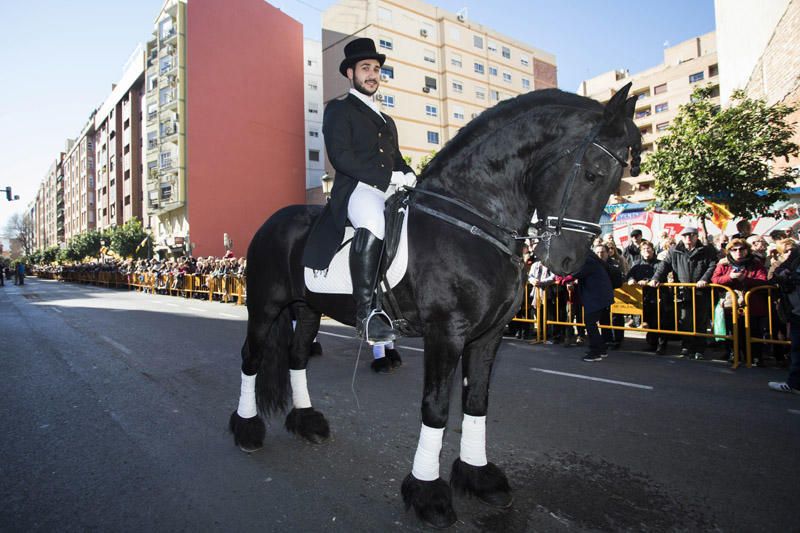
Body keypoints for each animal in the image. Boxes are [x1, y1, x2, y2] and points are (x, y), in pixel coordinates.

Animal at [228, 85, 640, 524]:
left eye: (615, 180)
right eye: (592, 173)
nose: (567, 262)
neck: (473, 220)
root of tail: (272, 221)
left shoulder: (488, 335)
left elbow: (476, 402)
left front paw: (479, 477)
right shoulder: (446, 331)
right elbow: (437, 408)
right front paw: (428, 493)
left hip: (307, 309)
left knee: (297, 357)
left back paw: (306, 423)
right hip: (265, 306)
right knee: (252, 358)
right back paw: (247, 429)